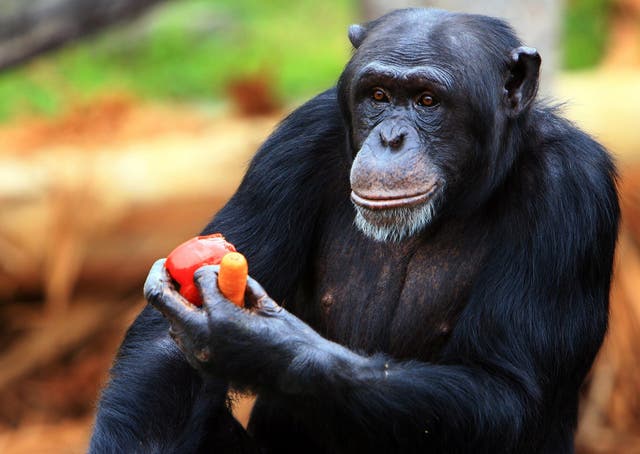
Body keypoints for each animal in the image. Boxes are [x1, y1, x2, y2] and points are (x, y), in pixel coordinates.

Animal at [90, 7, 620, 454]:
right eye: (379, 95)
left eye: (428, 100)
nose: (391, 138)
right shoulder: (295, 141)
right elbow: (164, 354)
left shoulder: (572, 189)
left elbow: (506, 390)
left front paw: (254, 344)